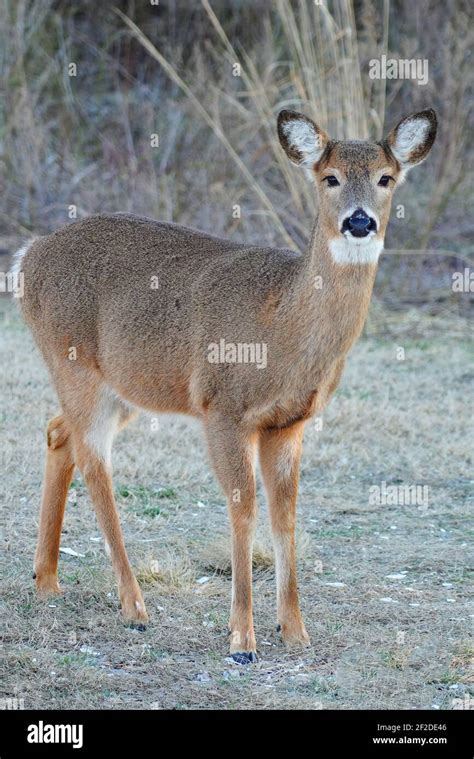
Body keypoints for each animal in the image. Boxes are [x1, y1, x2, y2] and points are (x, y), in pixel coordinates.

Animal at [12, 107, 436, 664]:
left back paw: (47, 580)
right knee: (93, 462)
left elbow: (285, 516)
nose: (360, 221)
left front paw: (295, 631)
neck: (282, 326)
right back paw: (134, 605)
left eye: (387, 178)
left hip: (125, 386)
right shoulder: (223, 409)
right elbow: (244, 509)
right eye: (330, 178)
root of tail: (27, 256)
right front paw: (242, 639)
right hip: (75, 365)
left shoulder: (289, 423)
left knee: (58, 432)